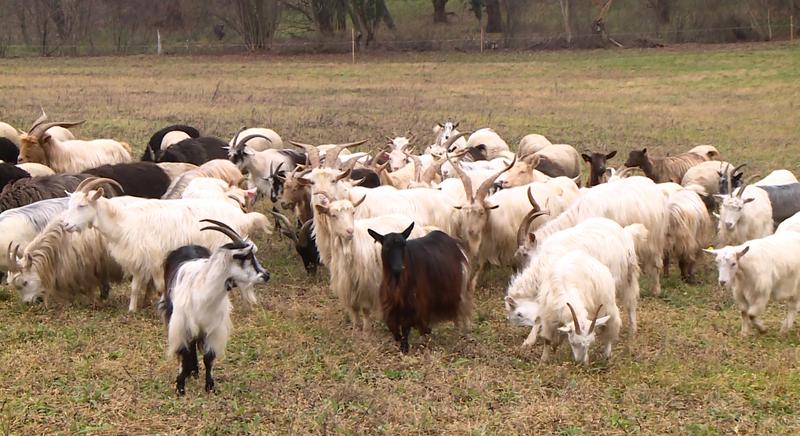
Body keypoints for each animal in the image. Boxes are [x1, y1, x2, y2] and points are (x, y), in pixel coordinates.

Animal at [158, 220, 270, 396]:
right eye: (246, 257)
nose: (266, 275)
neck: (203, 292)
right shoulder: (180, 325)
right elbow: (183, 352)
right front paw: (180, 386)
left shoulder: (213, 328)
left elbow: (208, 358)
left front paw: (210, 386)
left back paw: (194, 371)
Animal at [370, 223, 472, 352]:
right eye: (387, 246)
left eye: (404, 245)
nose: (399, 268)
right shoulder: (391, 304)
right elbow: (393, 327)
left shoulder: (414, 302)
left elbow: (406, 326)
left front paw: (405, 348)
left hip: (460, 287)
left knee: (462, 311)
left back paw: (464, 335)